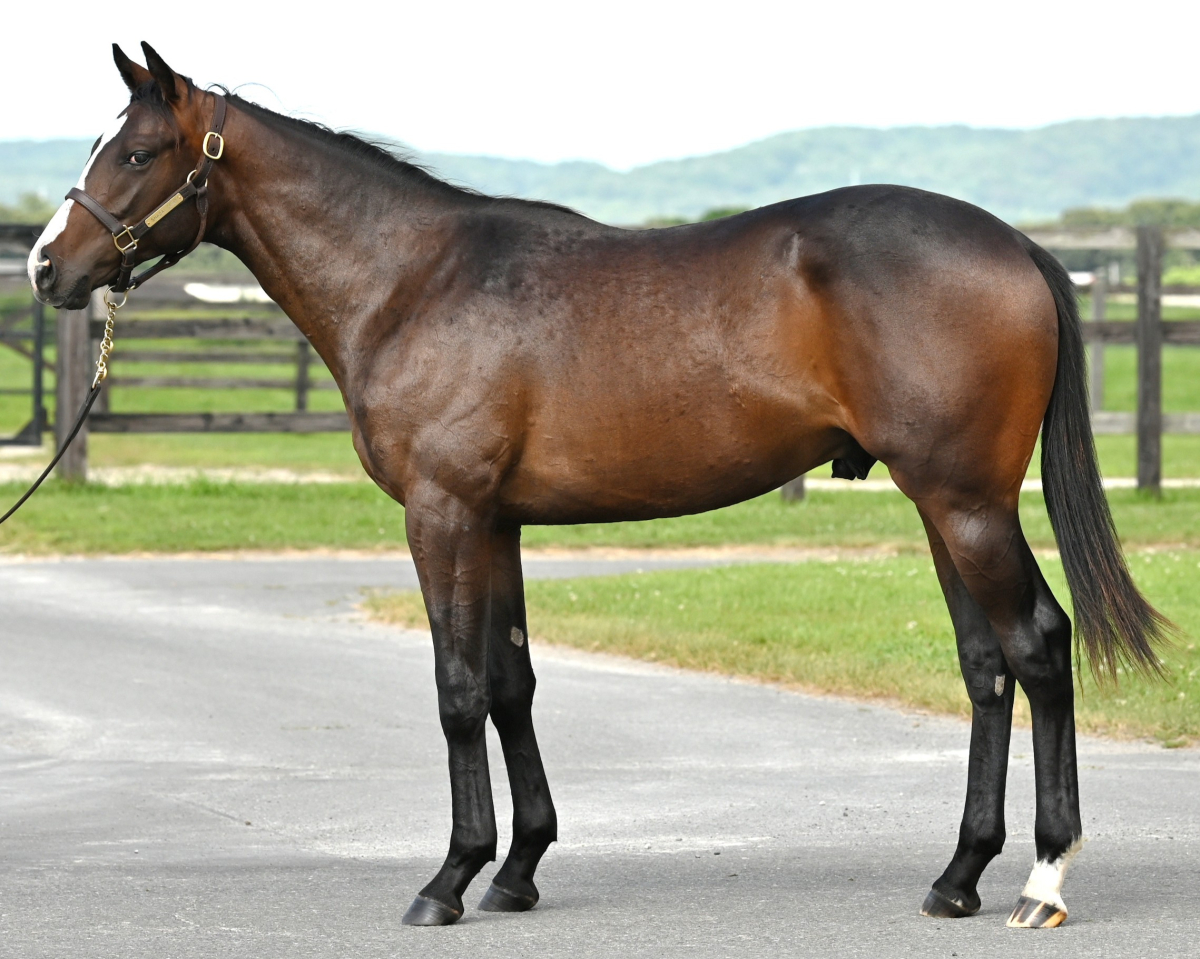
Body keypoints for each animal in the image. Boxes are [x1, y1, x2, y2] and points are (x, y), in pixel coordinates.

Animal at [29, 42, 1170, 930]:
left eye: (136, 152)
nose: (46, 266)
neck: (413, 281)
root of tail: (1017, 245)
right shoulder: (495, 522)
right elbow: (511, 682)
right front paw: (519, 868)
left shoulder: (442, 514)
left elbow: (456, 688)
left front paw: (448, 878)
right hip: (940, 504)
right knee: (987, 667)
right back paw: (958, 874)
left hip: (966, 502)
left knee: (1038, 645)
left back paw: (1042, 880)